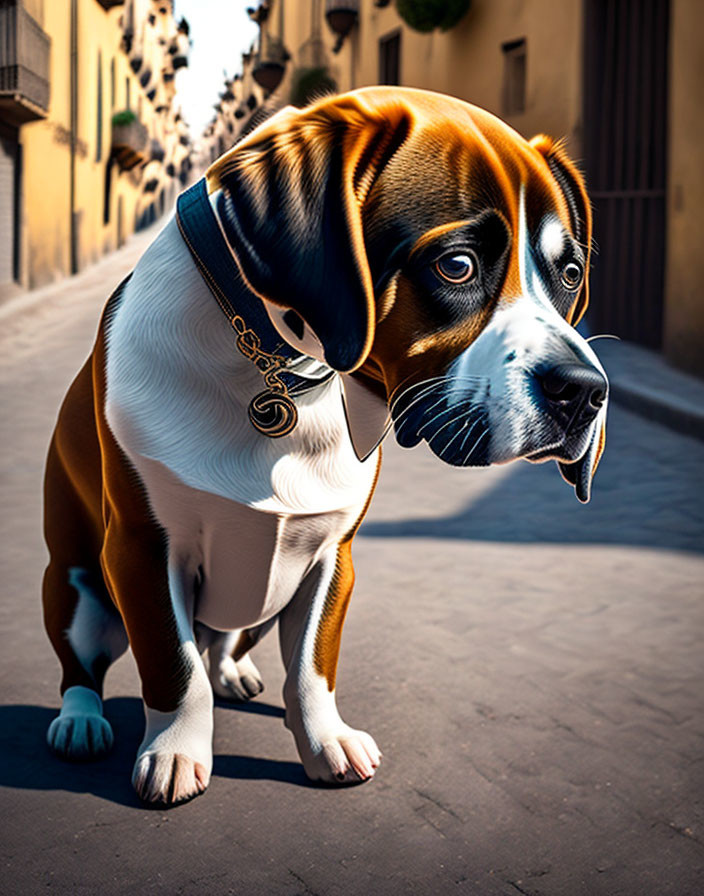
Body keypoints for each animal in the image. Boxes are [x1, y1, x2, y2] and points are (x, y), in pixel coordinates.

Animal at [41, 87, 608, 808]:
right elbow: (172, 667)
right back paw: (80, 720)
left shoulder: (331, 555)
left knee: (222, 643)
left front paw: (324, 743)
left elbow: (311, 666)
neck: (275, 365)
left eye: (571, 274)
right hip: (77, 585)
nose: (585, 392)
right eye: (457, 265)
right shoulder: (142, 550)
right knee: (82, 662)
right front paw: (174, 752)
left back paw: (232, 672)